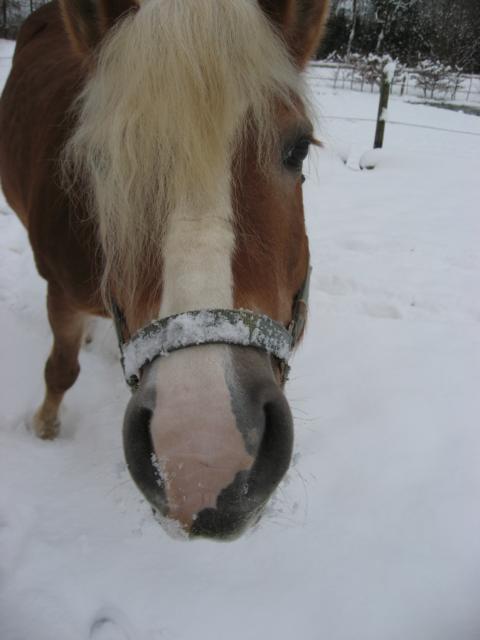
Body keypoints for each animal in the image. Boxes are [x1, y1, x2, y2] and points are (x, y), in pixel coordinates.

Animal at [0, 0, 329, 540]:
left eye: (298, 147)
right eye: (100, 160)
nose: (203, 453)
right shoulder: (60, 291)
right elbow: (60, 370)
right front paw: (45, 430)